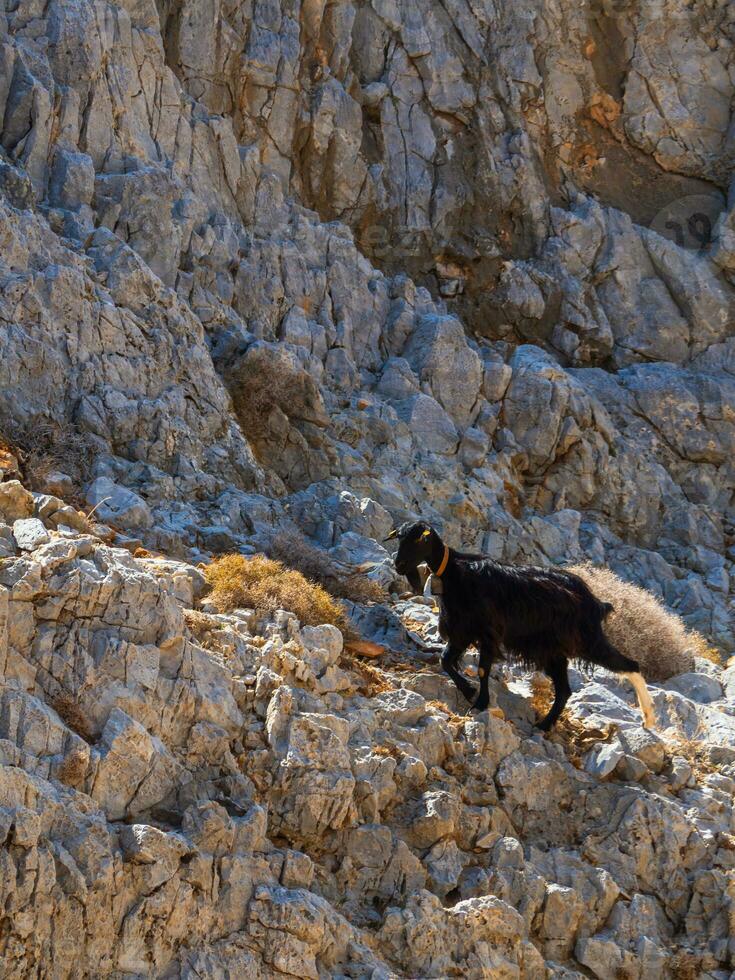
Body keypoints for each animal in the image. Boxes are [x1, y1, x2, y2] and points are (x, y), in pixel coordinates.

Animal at [388, 524, 660, 732]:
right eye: (399, 538)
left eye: (418, 540)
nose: (399, 565)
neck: (457, 572)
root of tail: (594, 601)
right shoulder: (461, 632)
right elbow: (445, 660)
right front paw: (468, 691)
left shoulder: (487, 633)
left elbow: (482, 670)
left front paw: (480, 702)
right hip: (554, 652)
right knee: (564, 691)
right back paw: (544, 725)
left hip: (587, 641)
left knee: (630, 665)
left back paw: (649, 719)